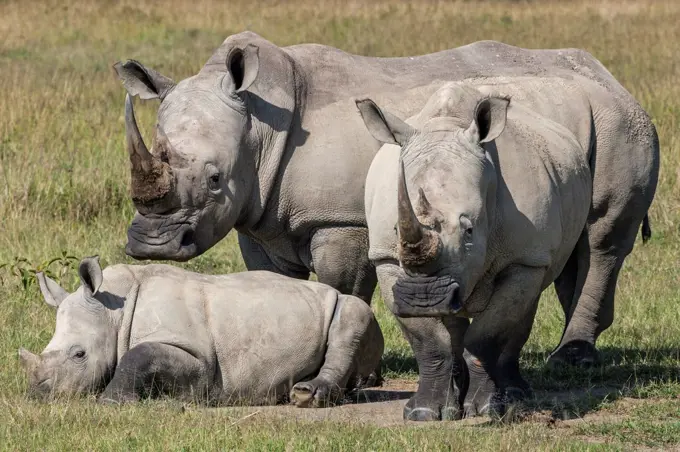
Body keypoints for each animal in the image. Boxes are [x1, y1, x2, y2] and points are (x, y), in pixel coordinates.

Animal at [19, 256, 382, 408]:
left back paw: (306, 396)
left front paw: (112, 402)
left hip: (346, 307)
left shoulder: (201, 361)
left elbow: (141, 354)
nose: (39, 393)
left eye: (79, 354)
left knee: (352, 313)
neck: (114, 313)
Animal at [114, 32, 656, 374]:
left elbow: (342, 286)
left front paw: (359, 374)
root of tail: (611, 79)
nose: (154, 245)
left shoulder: (340, 219)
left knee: (603, 238)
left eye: (214, 179)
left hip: (620, 125)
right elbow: (274, 282)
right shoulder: (259, 218)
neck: (258, 125)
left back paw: (572, 358)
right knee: (568, 246)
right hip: (588, 126)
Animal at [356, 78, 660, 420]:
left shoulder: (523, 259)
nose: (425, 299)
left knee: (595, 247)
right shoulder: (387, 259)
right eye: (397, 228)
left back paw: (519, 395)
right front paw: (423, 412)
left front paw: (485, 410)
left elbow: (488, 335)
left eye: (469, 230)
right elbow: (429, 340)